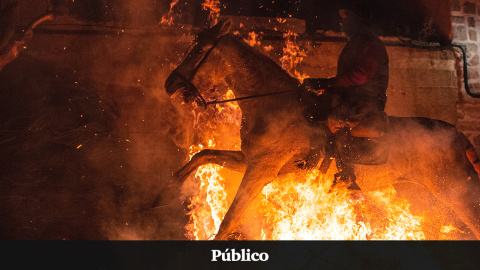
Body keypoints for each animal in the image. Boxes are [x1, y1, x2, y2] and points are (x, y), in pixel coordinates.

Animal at [163, 20, 480, 240]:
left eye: (199, 50)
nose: (169, 84)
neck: (272, 104)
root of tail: (457, 134)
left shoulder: (260, 171)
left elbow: (228, 220)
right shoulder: (250, 162)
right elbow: (202, 155)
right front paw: (163, 195)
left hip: (456, 191)